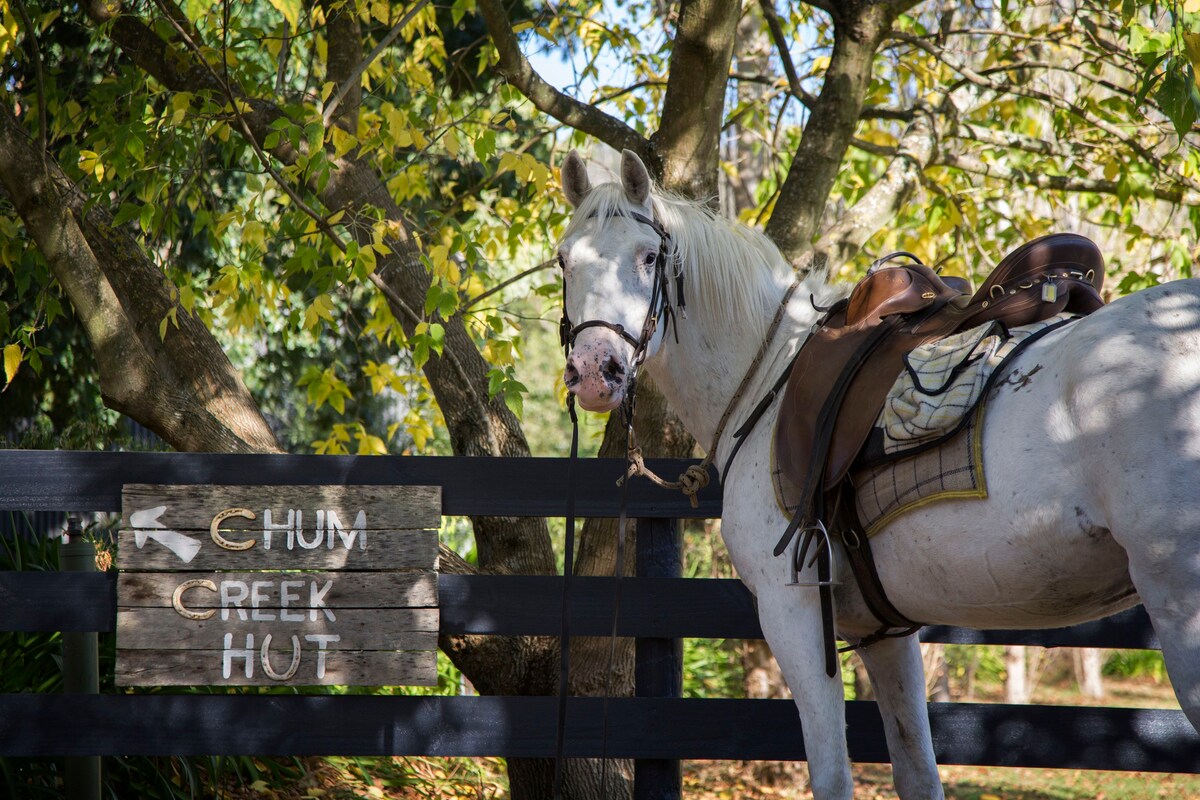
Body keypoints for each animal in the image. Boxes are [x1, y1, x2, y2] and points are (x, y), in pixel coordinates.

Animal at [556, 148, 1200, 796]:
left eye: (648, 257)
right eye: (564, 260)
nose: (595, 372)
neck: (767, 383)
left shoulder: (792, 613)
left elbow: (832, 774)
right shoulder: (887, 633)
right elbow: (915, 766)